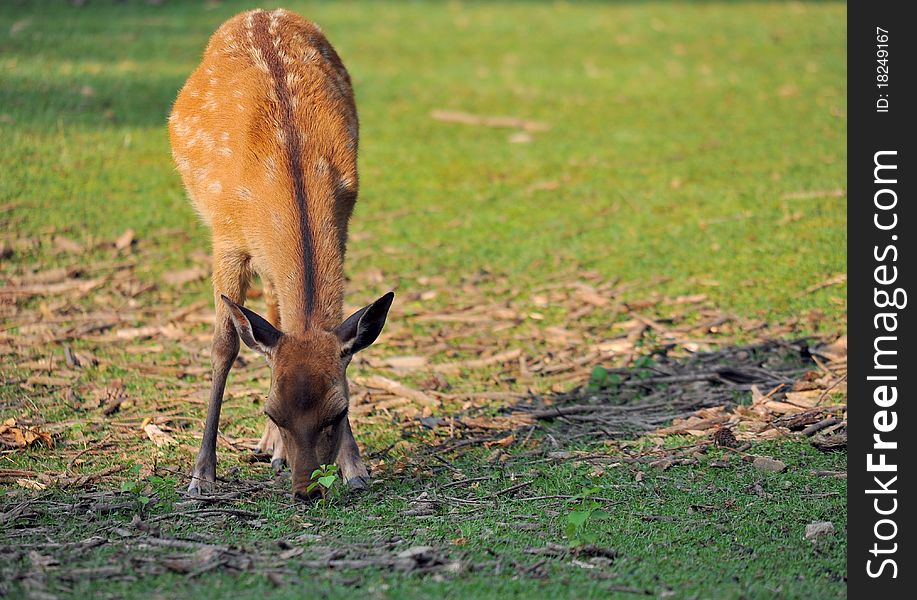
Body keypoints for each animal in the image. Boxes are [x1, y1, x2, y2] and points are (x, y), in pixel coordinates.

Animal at [170, 9, 392, 500]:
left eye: (340, 411)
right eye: (272, 410)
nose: (306, 490)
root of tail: (259, 12)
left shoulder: (344, 220)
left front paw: (355, 467)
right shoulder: (227, 238)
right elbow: (224, 344)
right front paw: (201, 473)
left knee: (274, 309)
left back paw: (272, 451)